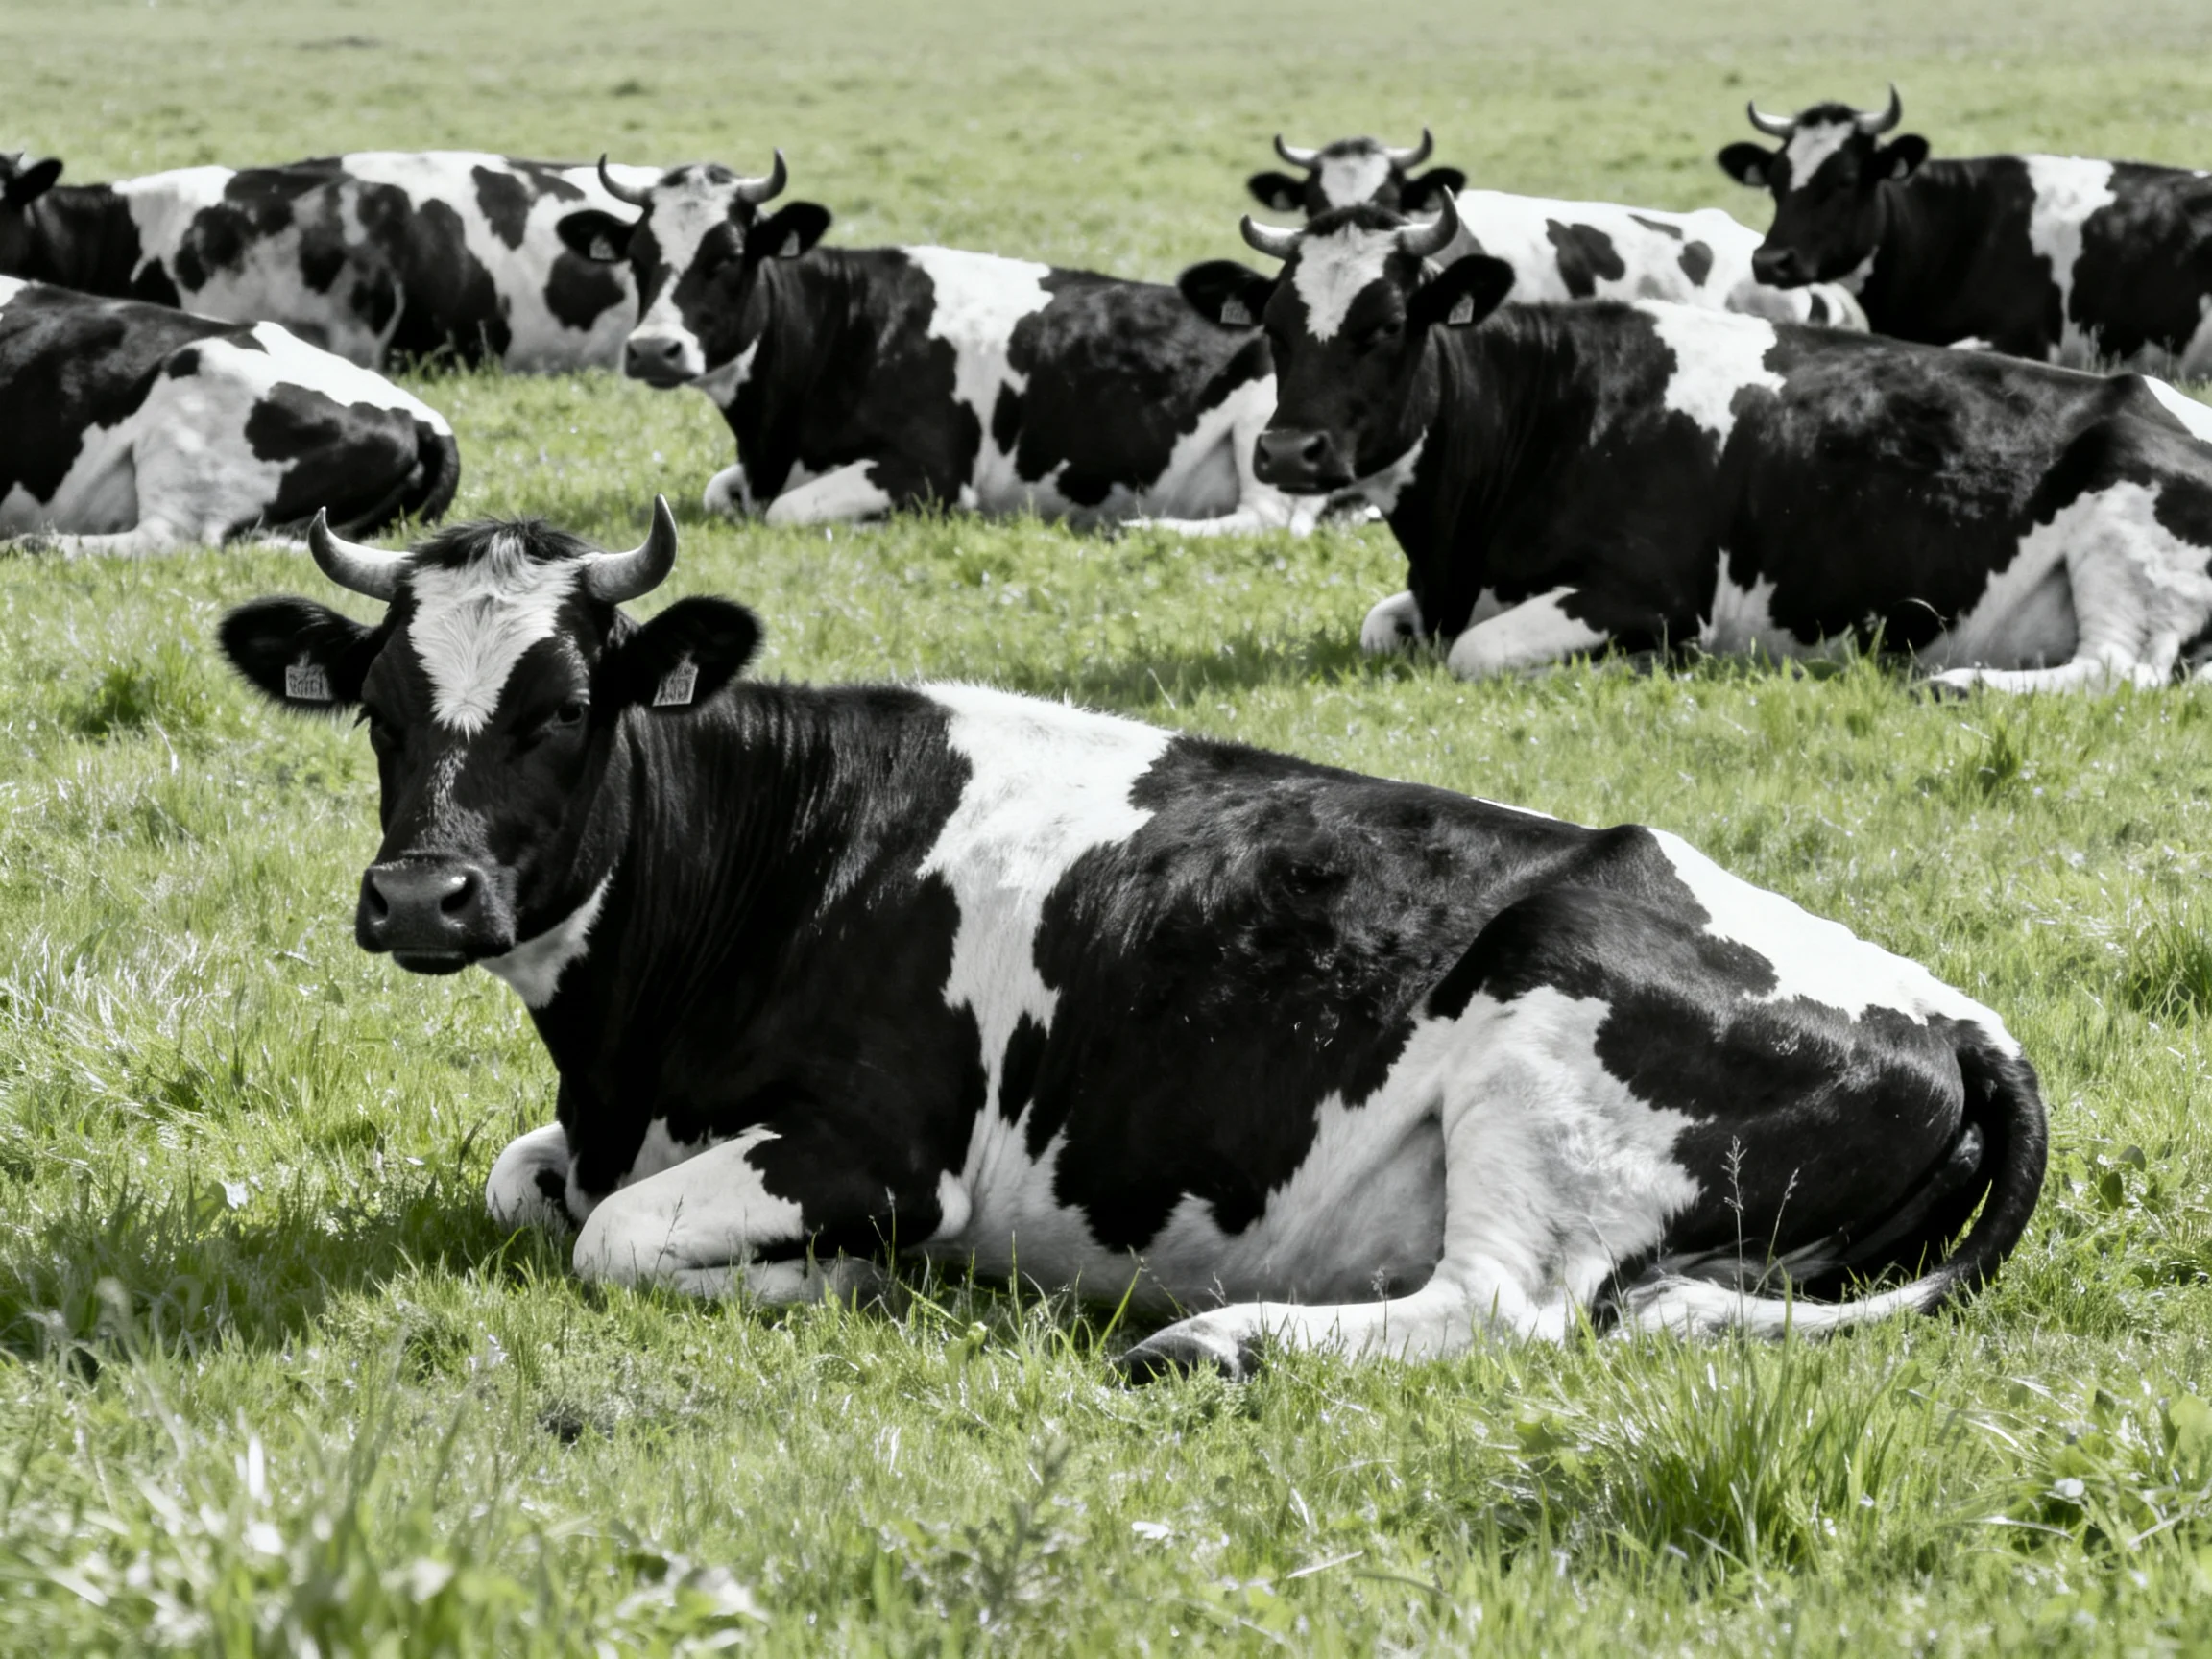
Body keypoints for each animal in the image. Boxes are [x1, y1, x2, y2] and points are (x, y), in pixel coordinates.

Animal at [215, 502, 2046, 1377]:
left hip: (1546, 1051)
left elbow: (607, 1238)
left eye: (564, 706)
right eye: (379, 708)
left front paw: (851, 1282)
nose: (421, 897)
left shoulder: (874, 1147)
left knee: (1502, 1310)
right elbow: (523, 1184)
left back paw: (1211, 1343)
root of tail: (1956, 1016)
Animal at [552, 155, 1316, 532]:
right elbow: (724, 494)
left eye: (730, 254)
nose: (654, 350)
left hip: (1267, 436)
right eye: (638, 257)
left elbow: (786, 513)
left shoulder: (929, 469)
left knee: (1270, 521)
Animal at [1176, 195, 2212, 695]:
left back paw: (1963, 686)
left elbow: (1473, 653)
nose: (1288, 453)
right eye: (1273, 327)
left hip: (2126, 529)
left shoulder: (1652, 594)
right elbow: (1382, 625)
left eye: (1388, 324)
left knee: (2120, 667)